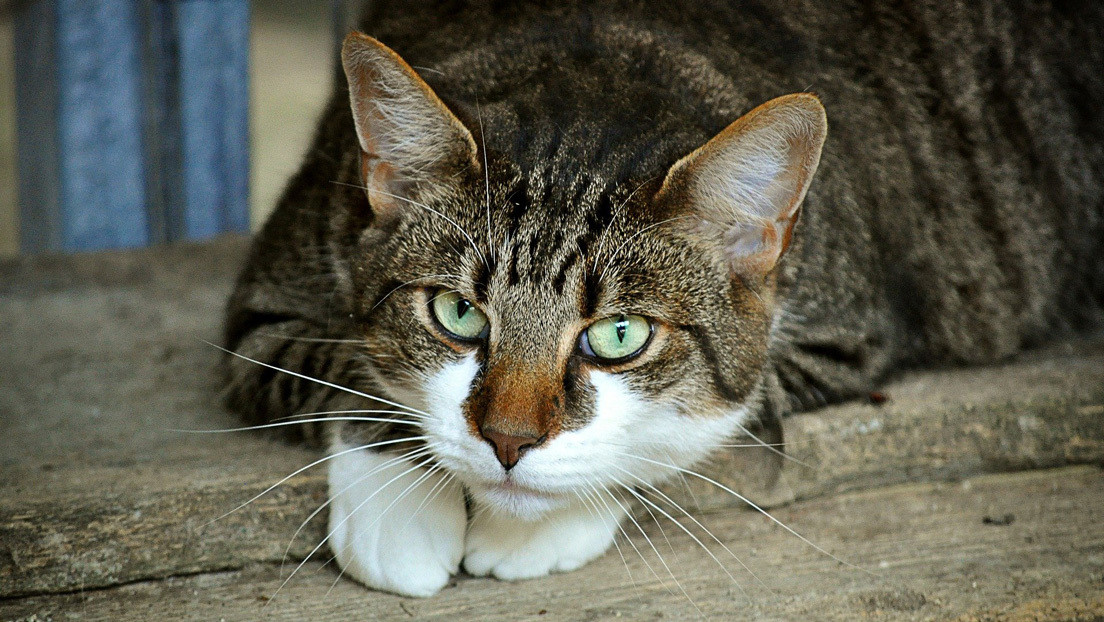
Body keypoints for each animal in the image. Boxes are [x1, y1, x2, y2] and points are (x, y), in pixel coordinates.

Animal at [219, 0, 1099, 596]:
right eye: (458, 314)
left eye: (619, 336)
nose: (507, 442)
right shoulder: (271, 296)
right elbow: (342, 365)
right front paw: (401, 514)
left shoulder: (844, 337)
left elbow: (706, 421)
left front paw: (528, 529)